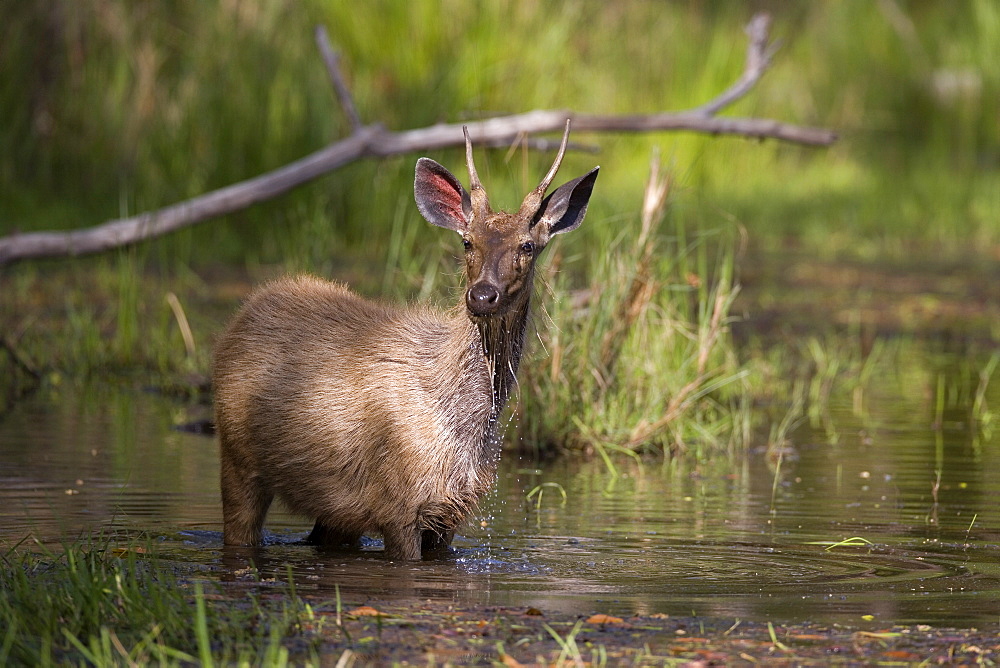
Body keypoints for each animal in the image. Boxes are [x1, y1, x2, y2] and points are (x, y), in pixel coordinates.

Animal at [214, 120, 596, 560]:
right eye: (467, 241)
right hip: (237, 457)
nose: (482, 295)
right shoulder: (397, 503)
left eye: (528, 245)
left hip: (335, 510)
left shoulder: (451, 512)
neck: (464, 427)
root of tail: (245, 311)